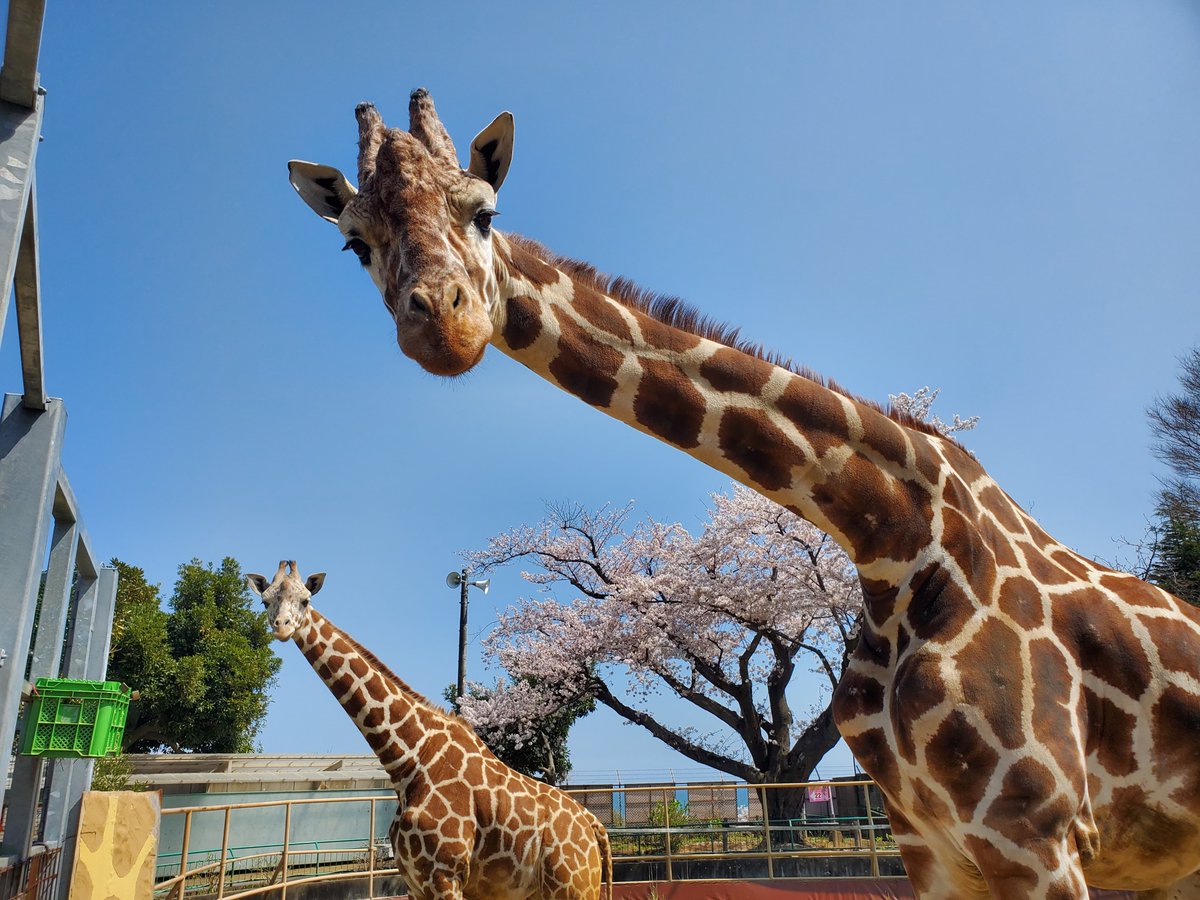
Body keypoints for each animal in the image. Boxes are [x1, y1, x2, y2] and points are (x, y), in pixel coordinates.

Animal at [247, 561, 614, 897]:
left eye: (306, 600)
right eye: (265, 601)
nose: (281, 627)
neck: (408, 760)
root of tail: (595, 826)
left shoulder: (445, 876)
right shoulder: (415, 881)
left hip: (572, 886)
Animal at [288, 93, 1200, 900]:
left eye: (483, 211)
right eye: (356, 245)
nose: (442, 326)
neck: (892, 536)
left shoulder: (1032, 831)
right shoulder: (933, 841)